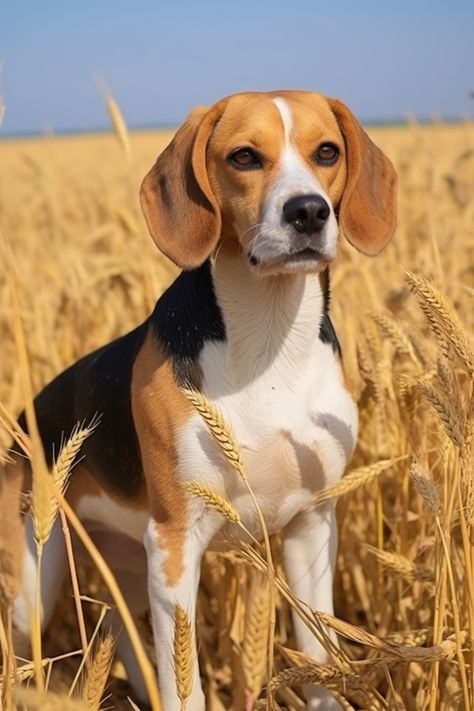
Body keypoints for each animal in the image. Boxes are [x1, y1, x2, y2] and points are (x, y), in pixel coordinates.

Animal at [3, 92, 396, 708]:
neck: (269, 339)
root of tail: (24, 421)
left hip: (126, 569)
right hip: (35, 582)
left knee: (119, 632)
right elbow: (186, 689)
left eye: (327, 152)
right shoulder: (175, 546)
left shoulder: (312, 526)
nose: (308, 211)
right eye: (244, 157)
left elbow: (319, 660)